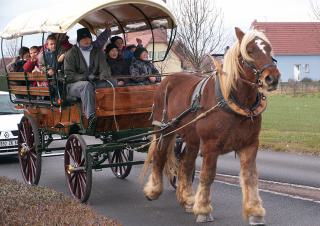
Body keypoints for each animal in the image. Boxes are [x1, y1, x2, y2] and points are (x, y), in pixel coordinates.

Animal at [142, 27, 280, 225]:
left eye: (268, 49)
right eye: (250, 50)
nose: (272, 78)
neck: (232, 101)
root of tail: (167, 80)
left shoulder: (250, 145)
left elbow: (250, 177)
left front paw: (255, 211)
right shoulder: (210, 146)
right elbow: (207, 176)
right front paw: (203, 210)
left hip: (191, 138)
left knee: (185, 163)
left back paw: (187, 198)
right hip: (165, 130)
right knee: (159, 157)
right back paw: (153, 190)